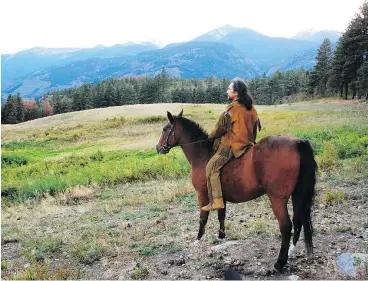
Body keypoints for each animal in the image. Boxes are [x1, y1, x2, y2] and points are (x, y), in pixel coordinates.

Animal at [155, 109, 316, 272]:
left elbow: (203, 217)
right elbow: (221, 215)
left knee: (286, 226)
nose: (158, 148)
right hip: (297, 195)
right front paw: (221, 236)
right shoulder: (221, 197)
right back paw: (291, 251)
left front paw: (198, 239)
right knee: (298, 221)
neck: (203, 155)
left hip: (277, 199)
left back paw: (279, 263)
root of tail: (297, 143)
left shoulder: (202, 195)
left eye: (165, 129)